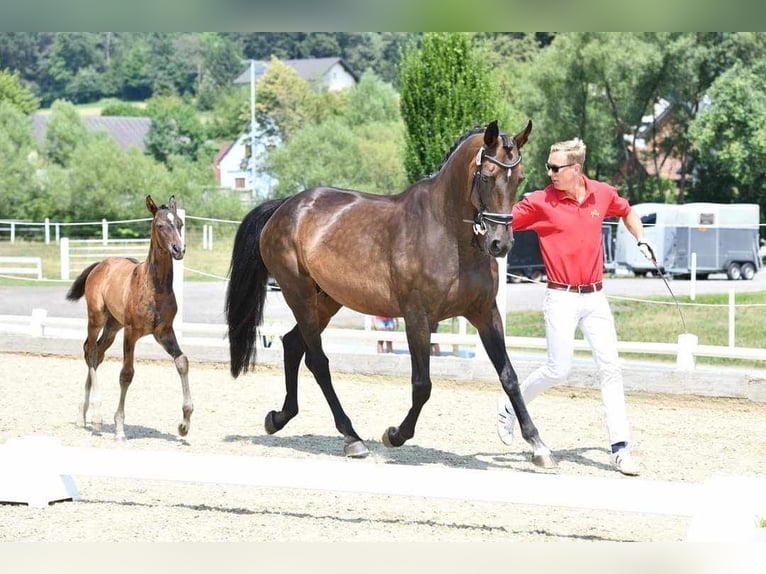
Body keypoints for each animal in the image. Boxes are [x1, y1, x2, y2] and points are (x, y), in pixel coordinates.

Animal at [66, 196, 194, 444]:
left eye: (180, 223)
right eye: (160, 225)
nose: (179, 249)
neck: (155, 286)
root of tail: (100, 264)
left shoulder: (164, 332)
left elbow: (182, 361)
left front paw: (184, 424)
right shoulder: (131, 333)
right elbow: (126, 374)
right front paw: (119, 428)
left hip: (112, 326)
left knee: (97, 353)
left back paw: (82, 415)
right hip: (96, 318)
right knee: (90, 351)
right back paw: (95, 414)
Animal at [225, 120, 556, 468]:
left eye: (519, 178)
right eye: (488, 175)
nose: (500, 244)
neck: (448, 232)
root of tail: (286, 206)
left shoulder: (485, 314)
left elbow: (509, 377)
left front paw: (538, 445)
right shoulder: (418, 318)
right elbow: (422, 385)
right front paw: (395, 435)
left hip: (326, 300)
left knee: (292, 345)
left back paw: (279, 418)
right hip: (298, 294)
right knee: (318, 361)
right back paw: (351, 438)